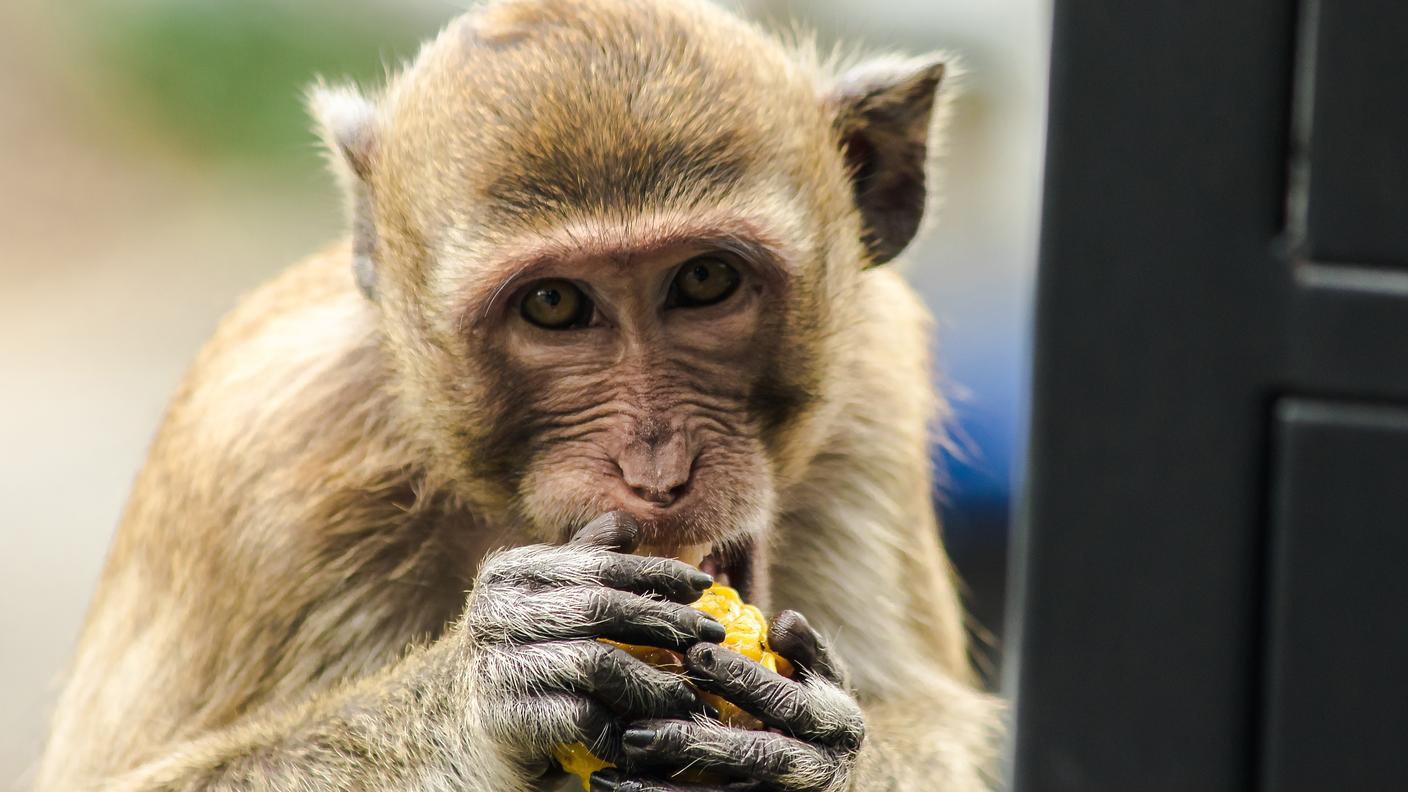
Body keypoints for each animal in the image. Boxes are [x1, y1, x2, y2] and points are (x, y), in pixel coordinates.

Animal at [35, 0, 1004, 790]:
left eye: (703, 281)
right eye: (553, 305)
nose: (656, 470)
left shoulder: (874, 391)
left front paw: (824, 752)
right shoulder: (266, 458)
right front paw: (493, 678)